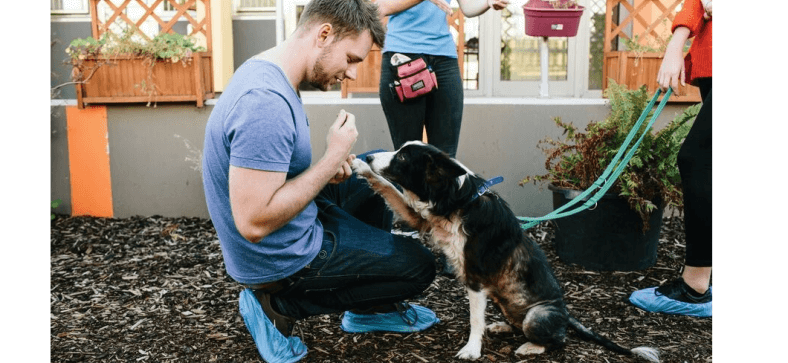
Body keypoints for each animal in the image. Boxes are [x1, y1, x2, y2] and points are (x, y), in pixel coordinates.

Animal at [350, 141, 660, 362]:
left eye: (403, 157)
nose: (370, 157)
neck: (459, 199)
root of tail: (566, 314)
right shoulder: (419, 218)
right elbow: (387, 188)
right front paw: (358, 166)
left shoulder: (476, 278)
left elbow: (475, 319)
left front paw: (472, 350)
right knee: (518, 323)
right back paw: (502, 326)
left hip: (538, 316)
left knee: (558, 341)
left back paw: (530, 347)